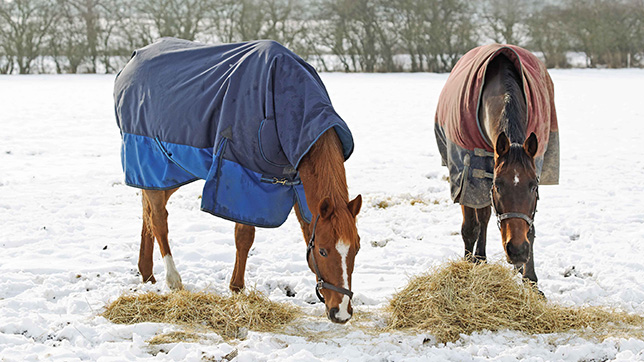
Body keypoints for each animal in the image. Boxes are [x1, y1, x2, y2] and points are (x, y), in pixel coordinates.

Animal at [115, 39, 362, 322]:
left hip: (169, 171)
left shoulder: (300, 185)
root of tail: (132, 60)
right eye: (322, 250)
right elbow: (244, 236)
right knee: (158, 219)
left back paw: (147, 274)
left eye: (356, 248)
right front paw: (237, 288)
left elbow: (303, 227)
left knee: (147, 213)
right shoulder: (244, 179)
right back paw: (172, 279)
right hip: (150, 160)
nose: (341, 312)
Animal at [436, 45, 560, 288]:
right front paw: (469, 265)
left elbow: (530, 229)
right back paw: (478, 257)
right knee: (479, 220)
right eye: (499, 186)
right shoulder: (466, 176)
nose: (517, 250)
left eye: (534, 186)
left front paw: (530, 280)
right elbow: (470, 227)